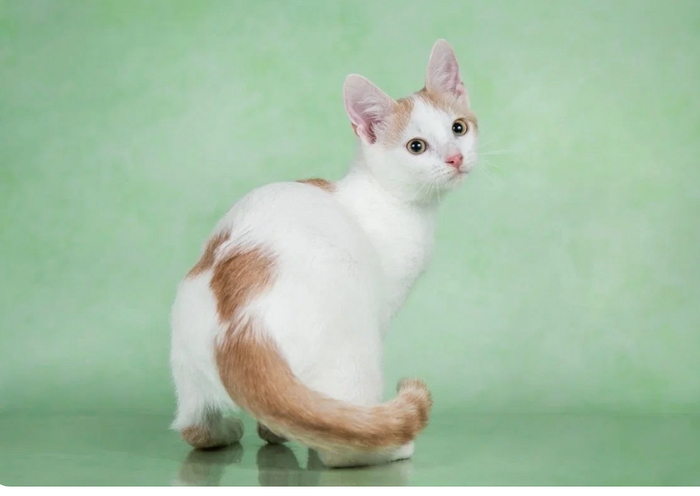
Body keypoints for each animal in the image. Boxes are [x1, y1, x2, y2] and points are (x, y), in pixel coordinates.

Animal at [170, 39, 478, 468]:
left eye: (458, 128)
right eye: (416, 147)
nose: (455, 158)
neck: (388, 199)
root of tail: (240, 329)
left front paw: (274, 431)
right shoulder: (383, 304)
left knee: (197, 430)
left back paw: (235, 432)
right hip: (356, 345)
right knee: (341, 444)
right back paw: (386, 448)